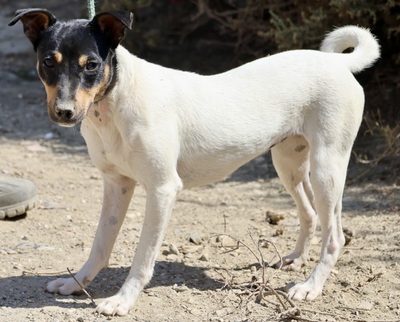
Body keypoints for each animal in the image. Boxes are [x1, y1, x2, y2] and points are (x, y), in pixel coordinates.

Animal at [8, 8, 378, 316]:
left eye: (92, 65)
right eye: (48, 62)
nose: (65, 112)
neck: (115, 100)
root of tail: (337, 64)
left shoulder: (162, 190)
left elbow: (143, 257)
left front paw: (122, 300)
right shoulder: (117, 185)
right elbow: (101, 243)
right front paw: (76, 283)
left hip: (327, 168)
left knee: (335, 235)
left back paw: (311, 286)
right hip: (288, 163)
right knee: (312, 214)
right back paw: (296, 259)